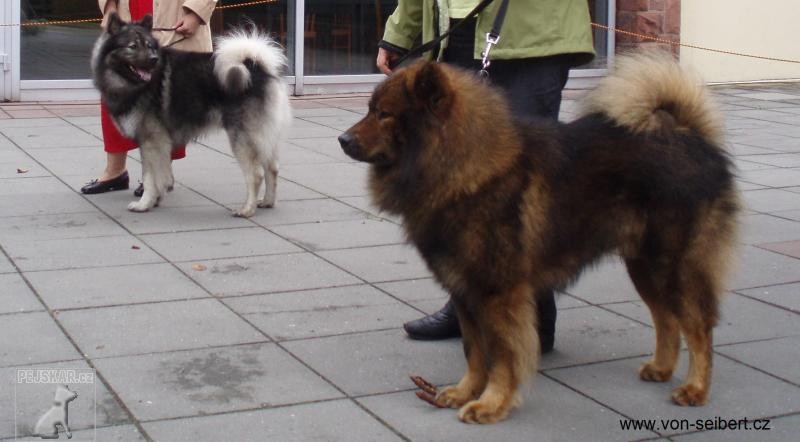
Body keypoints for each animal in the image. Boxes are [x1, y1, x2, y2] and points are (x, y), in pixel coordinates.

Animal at [338, 52, 736, 424]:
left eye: (384, 114)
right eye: (370, 110)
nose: (343, 139)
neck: (464, 166)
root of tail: (694, 139)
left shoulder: (499, 293)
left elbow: (502, 356)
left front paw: (491, 404)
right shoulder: (466, 290)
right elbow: (474, 352)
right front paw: (464, 392)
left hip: (673, 265)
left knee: (698, 327)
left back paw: (695, 388)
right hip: (644, 265)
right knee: (666, 318)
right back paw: (661, 369)